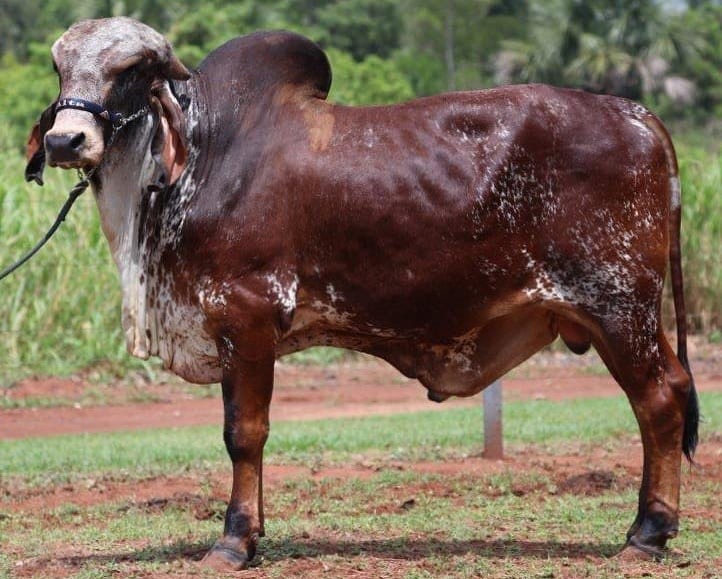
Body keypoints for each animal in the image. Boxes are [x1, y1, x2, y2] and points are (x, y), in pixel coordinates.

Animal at [25, 17, 698, 570]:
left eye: (131, 71)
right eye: (61, 69)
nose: (64, 141)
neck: (198, 156)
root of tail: (639, 116)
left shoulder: (247, 318)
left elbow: (245, 433)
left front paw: (234, 541)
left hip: (618, 306)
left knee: (660, 402)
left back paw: (647, 533)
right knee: (671, 392)